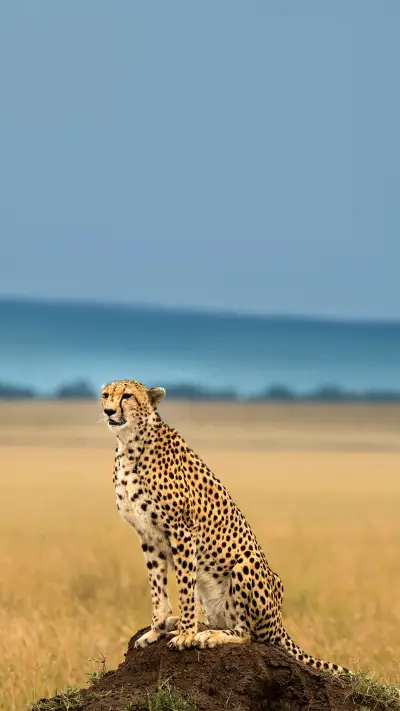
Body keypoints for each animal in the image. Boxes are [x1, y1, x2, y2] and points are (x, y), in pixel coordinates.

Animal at [100, 378, 349, 674]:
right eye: (105, 395)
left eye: (126, 396)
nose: (108, 411)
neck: (130, 443)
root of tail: (279, 622)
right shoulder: (148, 535)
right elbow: (157, 587)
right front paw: (156, 630)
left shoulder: (183, 530)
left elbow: (184, 588)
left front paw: (186, 635)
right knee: (223, 620)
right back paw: (184, 624)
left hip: (248, 565)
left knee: (247, 633)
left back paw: (207, 635)